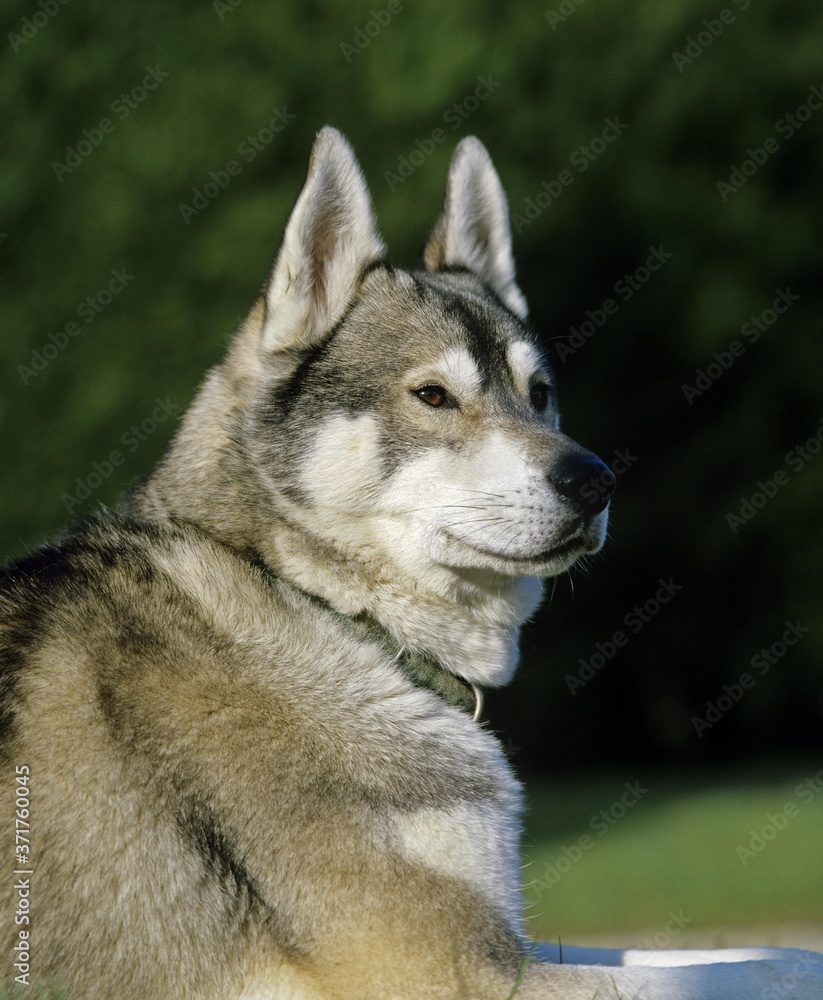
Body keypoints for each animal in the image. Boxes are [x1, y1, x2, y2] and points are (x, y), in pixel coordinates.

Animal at [1, 129, 823, 996]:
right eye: (432, 396)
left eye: (538, 394)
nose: (594, 481)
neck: (327, 612)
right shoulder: (443, 966)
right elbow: (759, 969)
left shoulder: (500, 941)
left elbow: (768, 953)